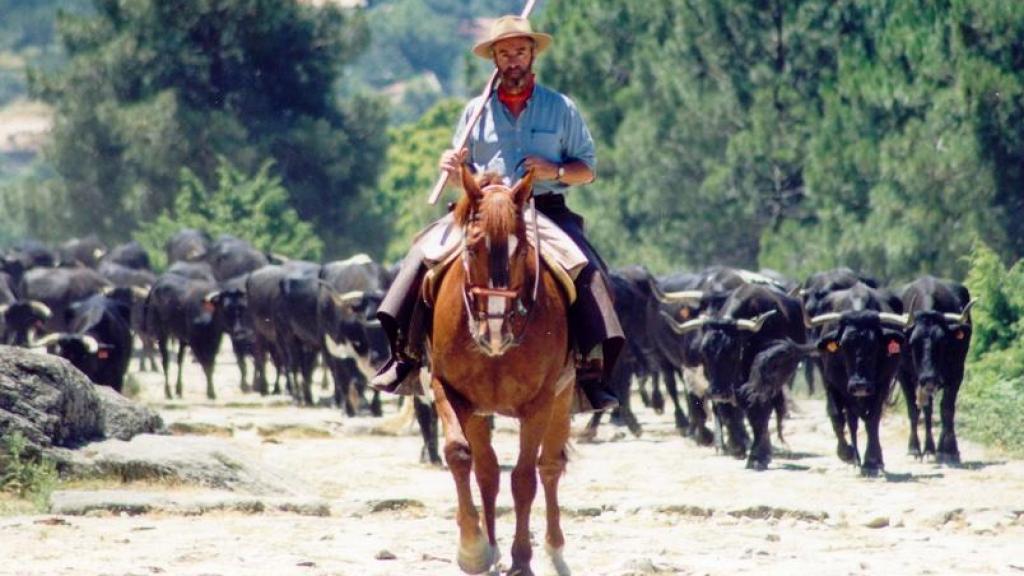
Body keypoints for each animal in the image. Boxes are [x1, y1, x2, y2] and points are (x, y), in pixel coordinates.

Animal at [428, 165, 575, 576]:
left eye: (521, 249)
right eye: (472, 248)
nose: (495, 330)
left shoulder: (540, 403)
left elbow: (524, 479)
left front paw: (522, 558)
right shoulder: (446, 388)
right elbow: (459, 454)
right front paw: (474, 548)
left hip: (563, 399)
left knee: (550, 466)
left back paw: (555, 549)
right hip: (479, 412)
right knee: (487, 472)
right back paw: (491, 546)